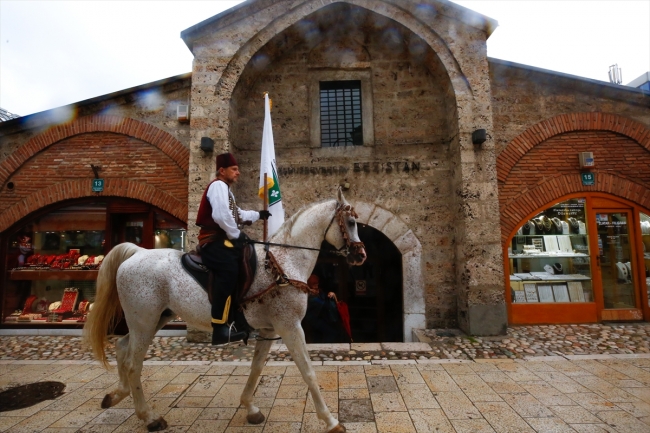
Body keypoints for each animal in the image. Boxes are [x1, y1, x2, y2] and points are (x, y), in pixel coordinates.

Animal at [83, 191, 364, 432]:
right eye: (351, 222)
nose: (361, 255)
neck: (283, 264)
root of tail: (138, 252)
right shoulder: (290, 327)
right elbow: (308, 372)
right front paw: (331, 420)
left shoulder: (268, 329)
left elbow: (256, 368)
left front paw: (250, 408)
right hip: (144, 322)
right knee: (133, 363)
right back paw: (149, 416)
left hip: (154, 320)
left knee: (122, 347)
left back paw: (117, 395)